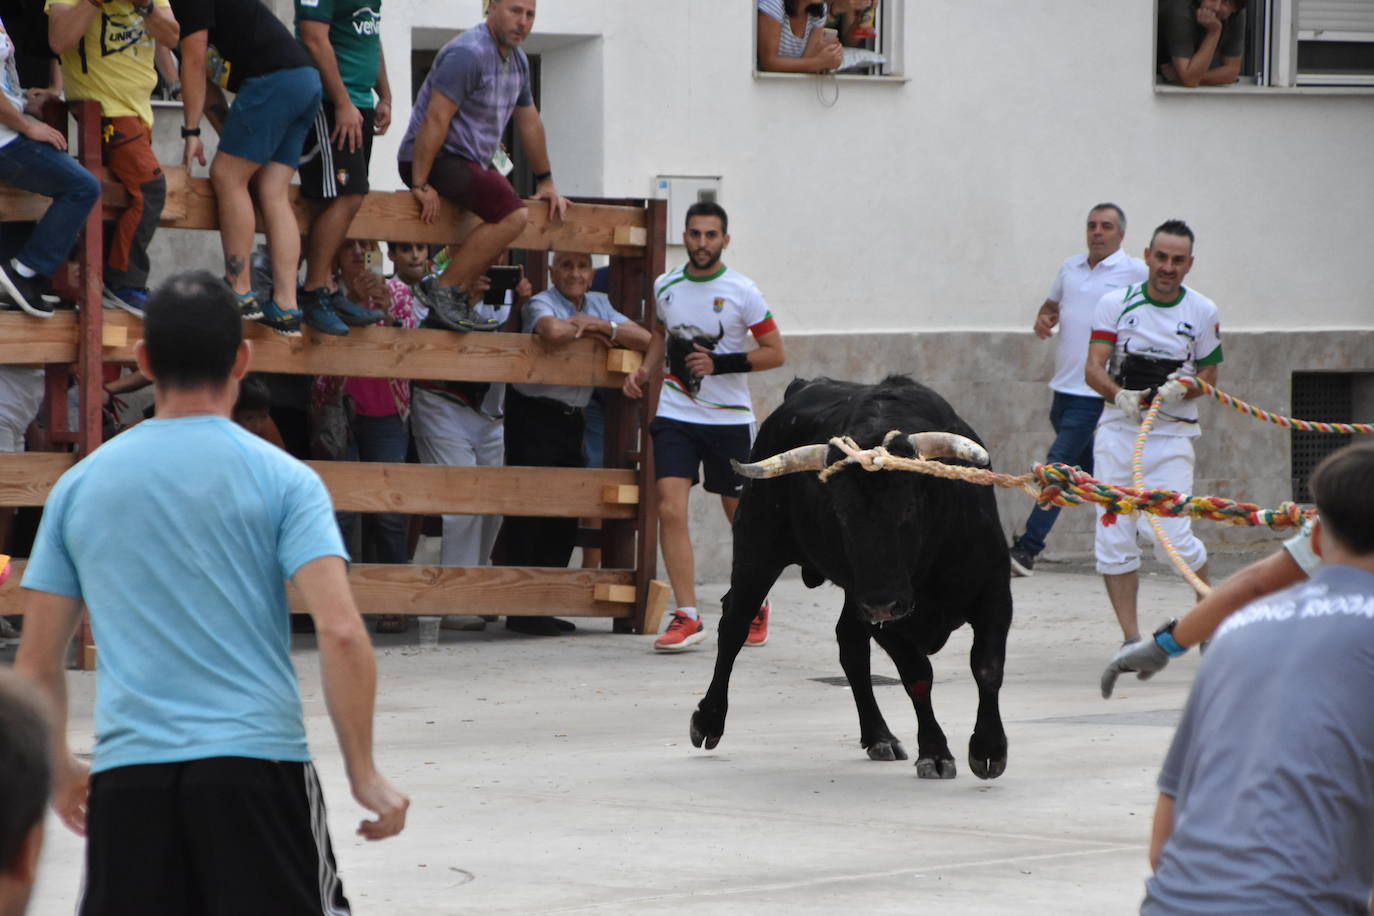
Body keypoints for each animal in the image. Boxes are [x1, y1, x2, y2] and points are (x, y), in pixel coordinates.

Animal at [692, 376, 1016, 780]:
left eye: (909, 509)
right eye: (841, 516)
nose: (882, 604)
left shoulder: (995, 595)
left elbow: (987, 668)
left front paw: (988, 749)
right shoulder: (889, 621)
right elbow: (917, 676)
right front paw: (936, 752)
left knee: (849, 644)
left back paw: (879, 735)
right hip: (758, 548)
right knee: (735, 623)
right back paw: (708, 721)